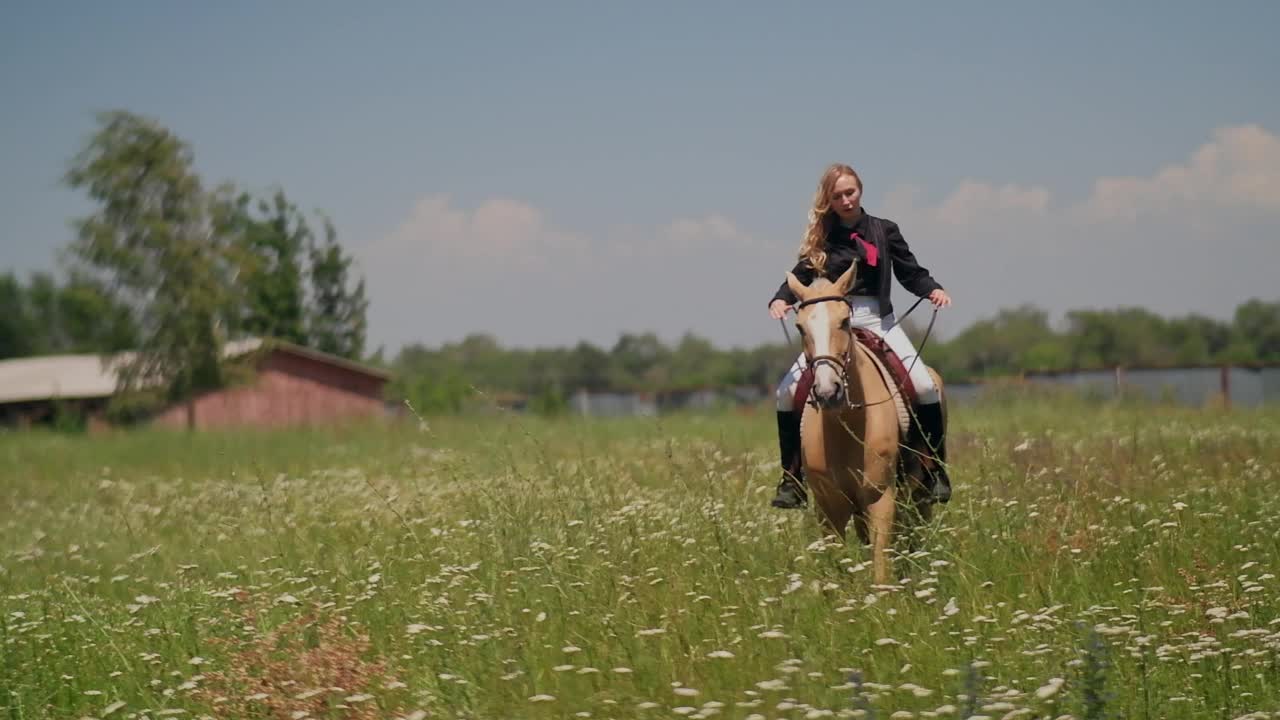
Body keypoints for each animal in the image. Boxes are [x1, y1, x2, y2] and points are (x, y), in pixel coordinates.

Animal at [778, 263, 942, 584]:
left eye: (843, 322)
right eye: (800, 327)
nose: (828, 393)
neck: (846, 426)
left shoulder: (880, 499)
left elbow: (881, 571)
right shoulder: (829, 506)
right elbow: (838, 574)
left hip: (918, 497)